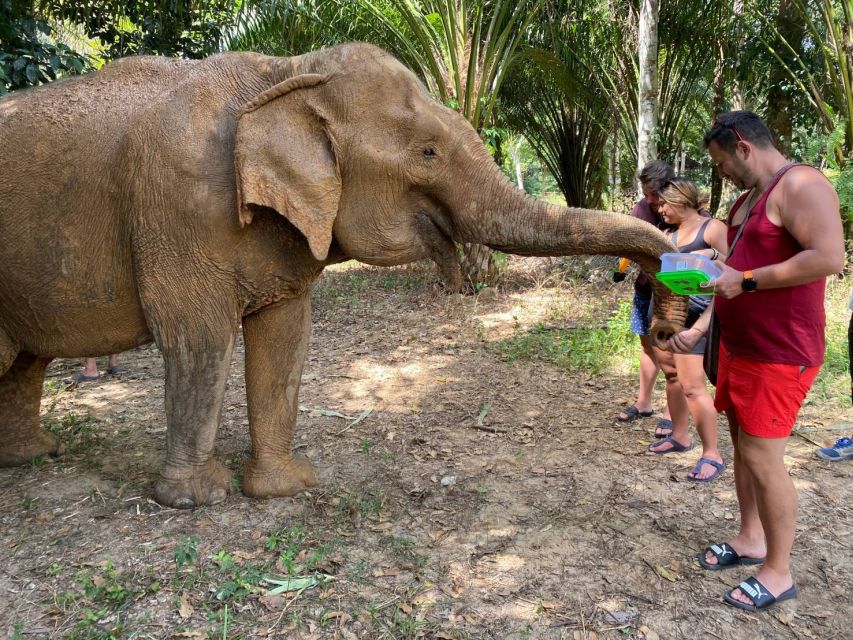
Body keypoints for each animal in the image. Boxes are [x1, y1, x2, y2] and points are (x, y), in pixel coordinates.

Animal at [0, 43, 685, 508]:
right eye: (428, 151)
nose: (660, 289)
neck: (285, 74)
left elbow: (285, 337)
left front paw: (286, 488)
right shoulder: (178, 210)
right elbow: (199, 339)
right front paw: (197, 500)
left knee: (24, 361)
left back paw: (33, 457)